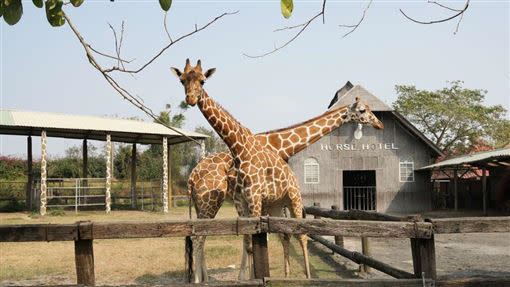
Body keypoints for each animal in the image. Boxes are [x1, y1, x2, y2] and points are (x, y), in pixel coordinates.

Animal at [171, 59, 318, 282]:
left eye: (203, 81)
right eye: (182, 80)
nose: (190, 99)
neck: (239, 148)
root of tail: (191, 177)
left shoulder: (255, 198)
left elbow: (255, 241)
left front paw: (253, 277)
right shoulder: (246, 199)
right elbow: (250, 242)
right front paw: (251, 277)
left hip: (293, 197)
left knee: (300, 234)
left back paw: (305, 277)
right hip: (268, 204)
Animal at [189, 98, 384, 282]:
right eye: (363, 110)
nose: (379, 124)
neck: (281, 145)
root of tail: (192, 177)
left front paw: (249, 277)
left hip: (202, 204)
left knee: (199, 236)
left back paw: (204, 278)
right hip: (210, 201)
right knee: (198, 238)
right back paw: (199, 280)